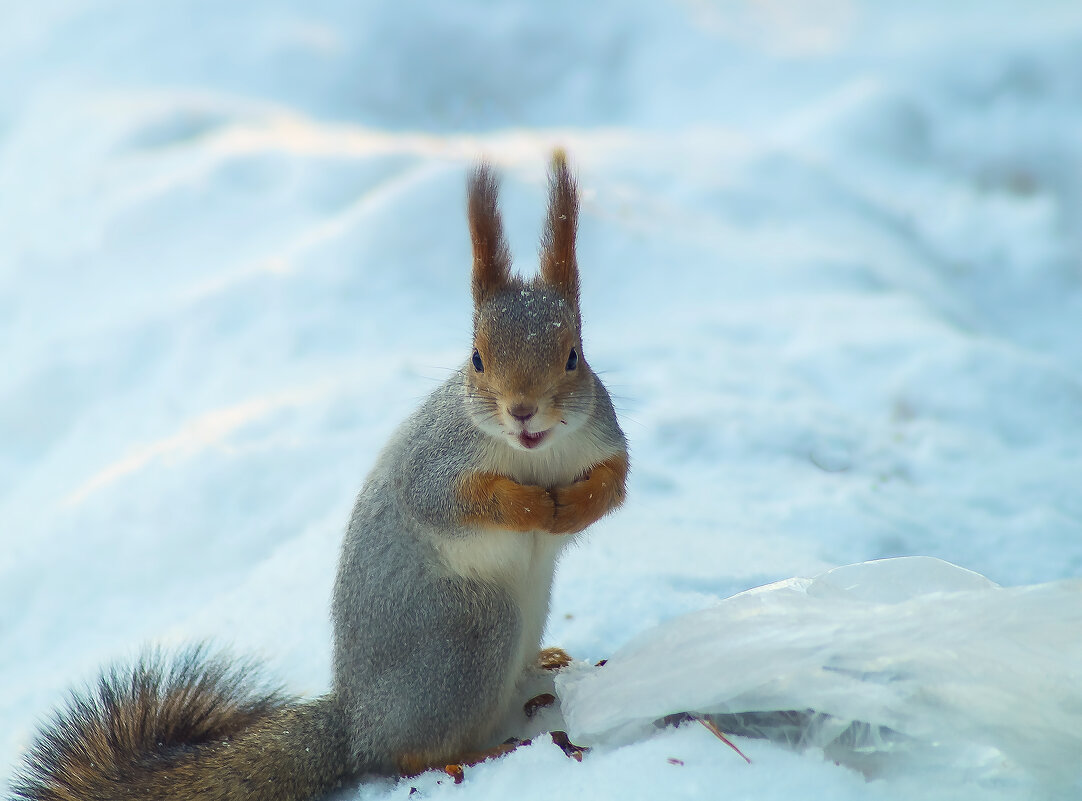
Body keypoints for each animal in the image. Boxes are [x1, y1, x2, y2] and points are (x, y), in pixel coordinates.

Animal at [12, 151, 631, 800]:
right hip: (468, 639)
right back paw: (473, 754)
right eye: (477, 359)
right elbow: (445, 500)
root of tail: (354, 725)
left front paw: (578, 505)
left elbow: (616, 481)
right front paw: (531, 508)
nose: (523, 410)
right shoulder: (437, 460)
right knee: (405, 754)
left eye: (573, 355)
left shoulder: (602, 435)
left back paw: (546, 667)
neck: (534, 454)